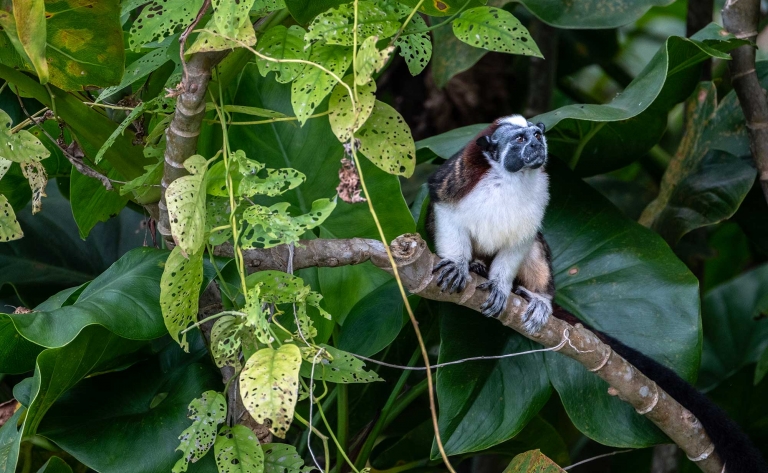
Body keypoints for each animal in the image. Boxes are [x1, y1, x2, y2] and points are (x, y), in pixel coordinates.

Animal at [426, 114, 768, 472]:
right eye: (520, 140)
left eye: (537, 134)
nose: (537, 142)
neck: (511, 178)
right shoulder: (456, 179)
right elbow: (445, 210)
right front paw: (459, 266)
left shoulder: (539, 194)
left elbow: (523, 238)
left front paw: (502, 287)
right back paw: (477, 266)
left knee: (535, 242)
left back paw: (538, 299)